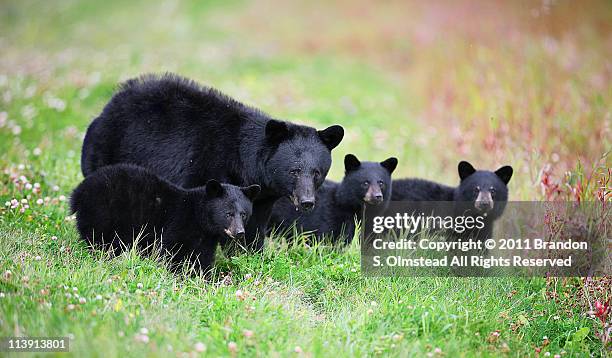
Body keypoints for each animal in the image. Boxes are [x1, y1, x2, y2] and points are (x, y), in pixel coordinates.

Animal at [70, 165, 260, 274]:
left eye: (243, 214)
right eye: (228, 213)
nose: (240, 232)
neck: (199, 218)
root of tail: (79, 191)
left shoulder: (206, 239)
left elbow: (202, 258)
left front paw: (204, 278)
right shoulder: (178, 224)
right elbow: (171, 251)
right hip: (103, 212)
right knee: (100, 240)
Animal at [80, 74, 344, 250]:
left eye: (317, 172)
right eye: (294, 171)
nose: (307, 201)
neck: (245, 163)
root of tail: (110, 103)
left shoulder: (261, 198)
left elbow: (254, 224)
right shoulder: (205, 168)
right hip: (106, 150)